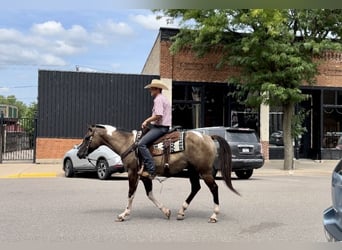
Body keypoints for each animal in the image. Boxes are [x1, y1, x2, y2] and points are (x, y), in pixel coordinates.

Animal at [76, 125, 239, 223]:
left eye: (86, 138)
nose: (78, 153)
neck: (128, 144)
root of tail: (208, 137)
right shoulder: (144, 176)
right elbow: (150, 194)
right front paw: (166, 211)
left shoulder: (133, 173)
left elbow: (131, 194)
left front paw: (123, 215)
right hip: (193, 170)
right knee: (195, 188)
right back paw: (181, 212)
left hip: (204, 171)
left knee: (214, 188)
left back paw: (214, 215)